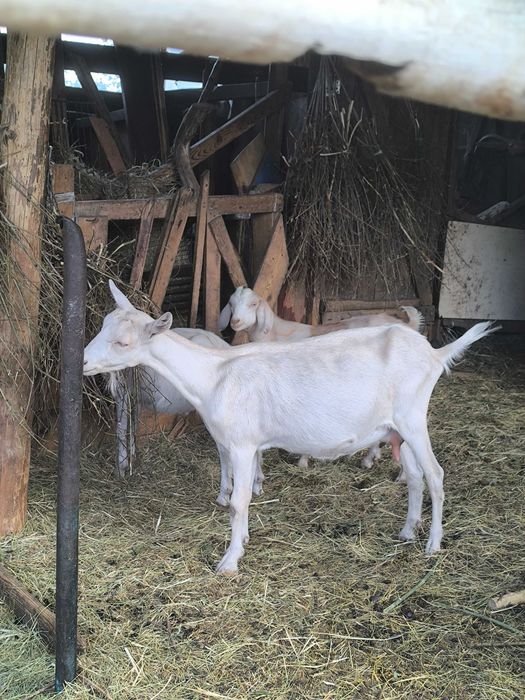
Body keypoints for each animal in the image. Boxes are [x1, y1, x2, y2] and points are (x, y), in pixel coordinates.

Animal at [220, 286, 424, 471]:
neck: (276, 335)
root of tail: (407, 325)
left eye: (253, 304)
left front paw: (303, 460)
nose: (235, 321)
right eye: (231, 303)